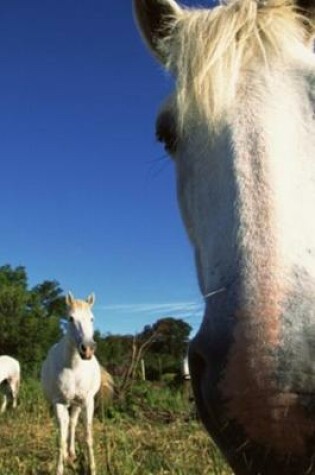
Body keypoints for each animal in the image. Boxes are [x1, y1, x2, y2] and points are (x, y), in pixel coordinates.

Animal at [41, 292, 101, 475]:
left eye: (92, 318)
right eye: (70, 318)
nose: (87, 349)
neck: (74, 368)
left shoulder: (87, 402)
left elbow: (88, 436)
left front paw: (92, 468)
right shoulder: (59, 403)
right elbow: (61, 438)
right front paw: (59, 469)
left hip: (77, 404)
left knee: (73, 424)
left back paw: (72, 453)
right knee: (67, 425)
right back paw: (68, 455)